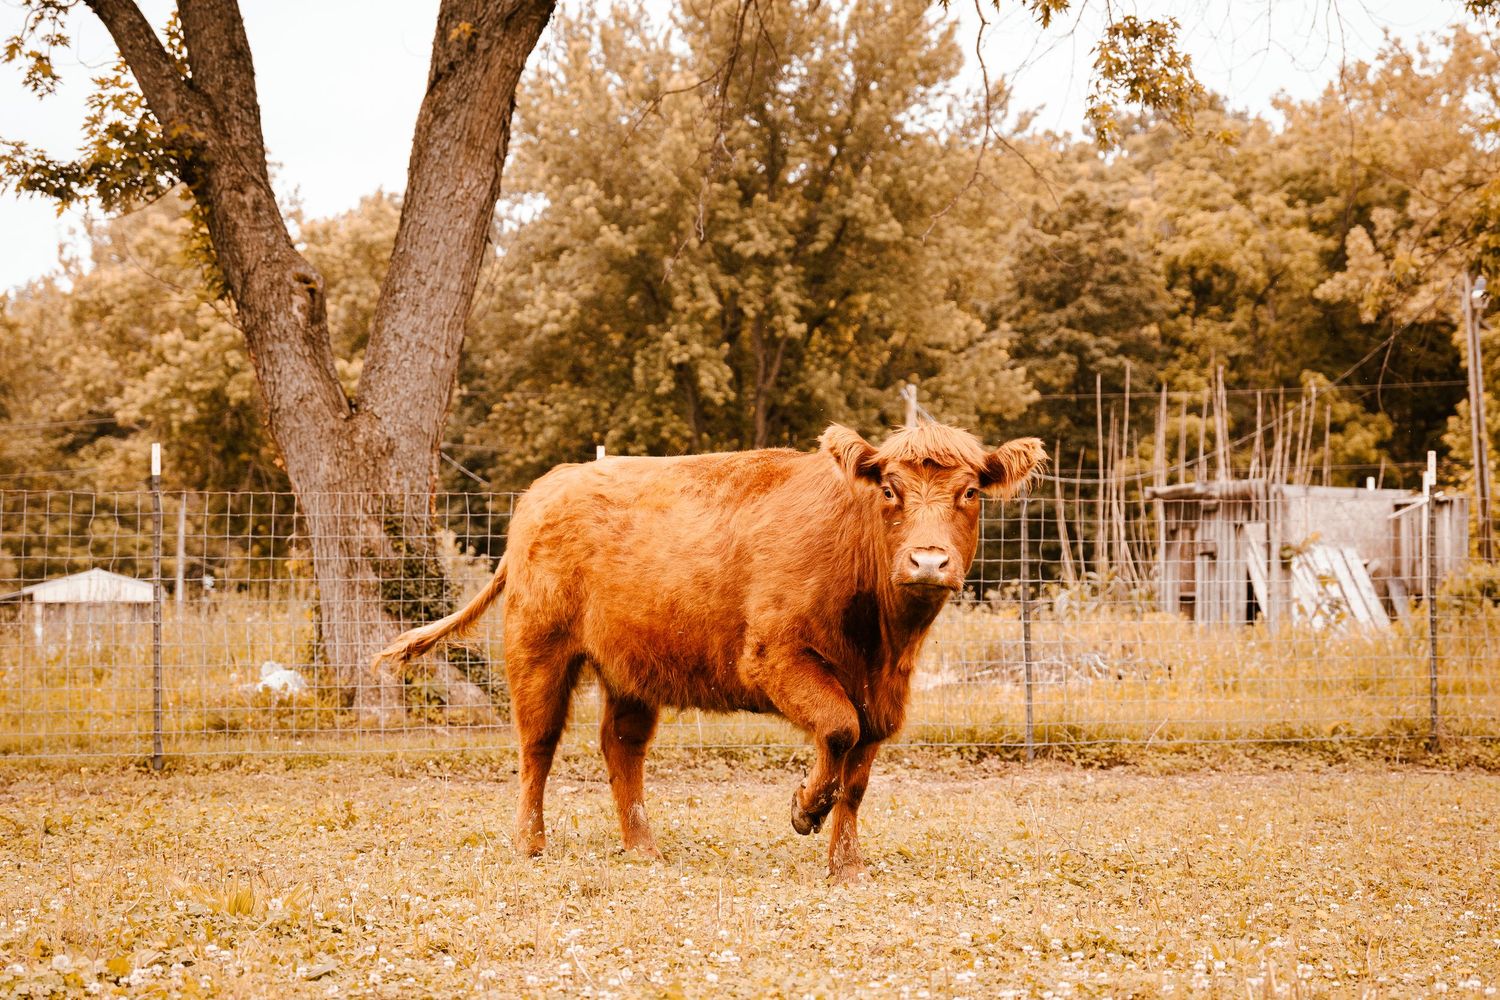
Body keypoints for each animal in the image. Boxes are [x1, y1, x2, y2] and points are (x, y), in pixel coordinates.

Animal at [375, 421, 1045, 882]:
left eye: (969, 493)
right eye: (889, 488)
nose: (928, 561)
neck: (883, 640)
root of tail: (548, 486)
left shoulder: (885, 697)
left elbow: (856, 778)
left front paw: (846, 865)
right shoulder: (776, 657)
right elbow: (837, 728)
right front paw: (805, 809)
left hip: (631, 668)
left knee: (621, 745)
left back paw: (643, 848)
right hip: (539, 648)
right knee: (537, 744)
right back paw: (531, 843)